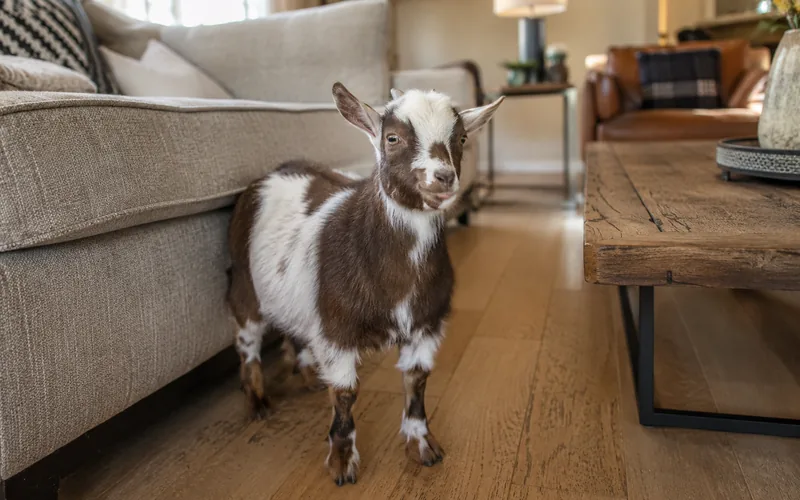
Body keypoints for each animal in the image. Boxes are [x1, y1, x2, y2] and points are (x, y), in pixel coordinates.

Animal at [226, 82, 504, 486]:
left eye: (463, 138)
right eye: (392, 138)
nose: (443, 177)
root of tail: (273, 172)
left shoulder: (426, 325)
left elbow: (417, 383)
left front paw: (423, 446)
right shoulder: (336, 328)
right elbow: (345, 394)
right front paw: (342, 463)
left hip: (298, 294)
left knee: (296, 330)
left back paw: (309, 376)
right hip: (244, 284)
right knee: (248, 343)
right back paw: (258, 402)